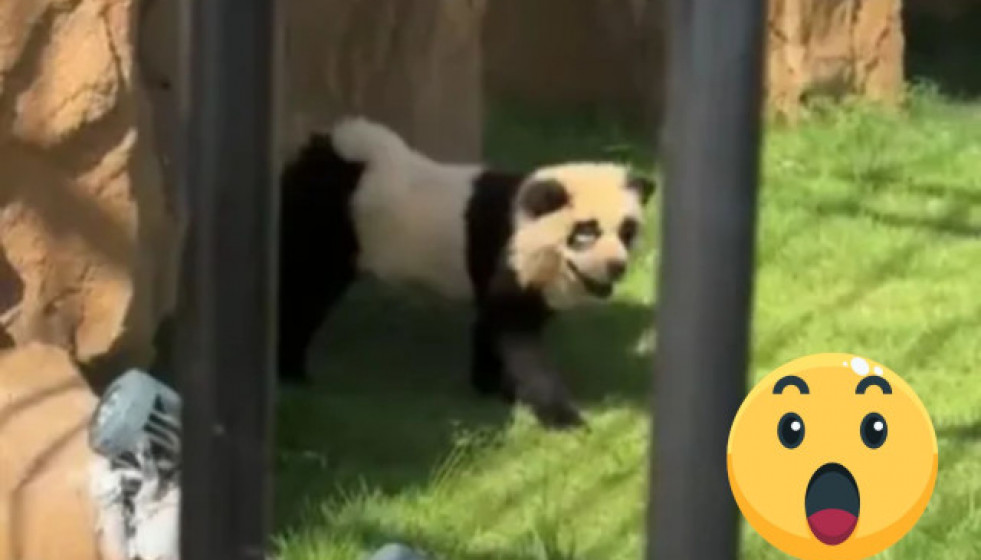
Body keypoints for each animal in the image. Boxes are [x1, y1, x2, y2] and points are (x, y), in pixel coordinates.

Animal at [278, 116, 655, 429]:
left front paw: (492, 388)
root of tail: (329, 150)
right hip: (325, 224)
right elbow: (516, 334)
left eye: (627, 232)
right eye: (586, 232)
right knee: (304, 291)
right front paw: (562, 416)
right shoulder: (507, 252)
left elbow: (492, 328)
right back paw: (292, 373)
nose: (616, 267)